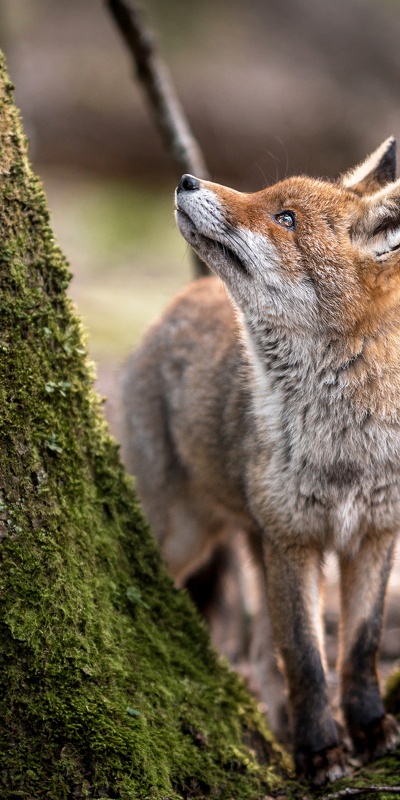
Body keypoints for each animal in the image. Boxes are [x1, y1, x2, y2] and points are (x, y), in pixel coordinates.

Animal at [121, 141, 400, 784]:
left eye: (286, 218)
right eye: (269, 201)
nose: (186, 179)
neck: (342, 446)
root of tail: (180, 298)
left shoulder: (375, 534)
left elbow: (359, 647)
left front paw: (369, 728)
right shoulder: (291, 539)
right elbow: (305, 660)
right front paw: (319, 750)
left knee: (256, 656)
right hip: (185, 537)